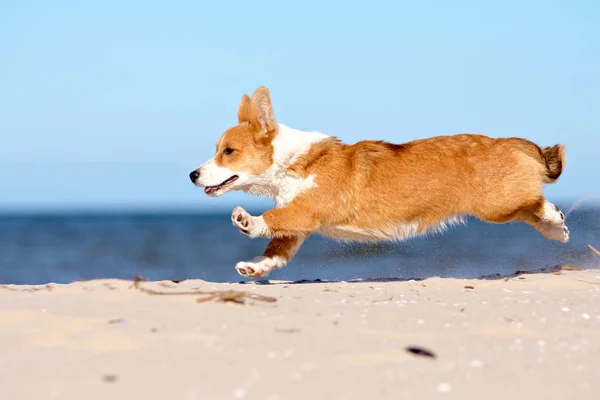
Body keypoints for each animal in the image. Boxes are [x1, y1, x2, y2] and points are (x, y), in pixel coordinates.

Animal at [190, 86, 568, 278]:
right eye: (218, 150)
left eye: (228, 151)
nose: (192, 175)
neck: (290, 161)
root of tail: (507, 141)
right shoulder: (296, 229)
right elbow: (275, 251)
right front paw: (254, 267)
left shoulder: (305, 211)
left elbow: (269, 220)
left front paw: (246, 220)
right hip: (501, 206)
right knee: (532, 209)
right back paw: (556, 228)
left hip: (496, 205)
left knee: (535, 201)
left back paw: (555, 219)